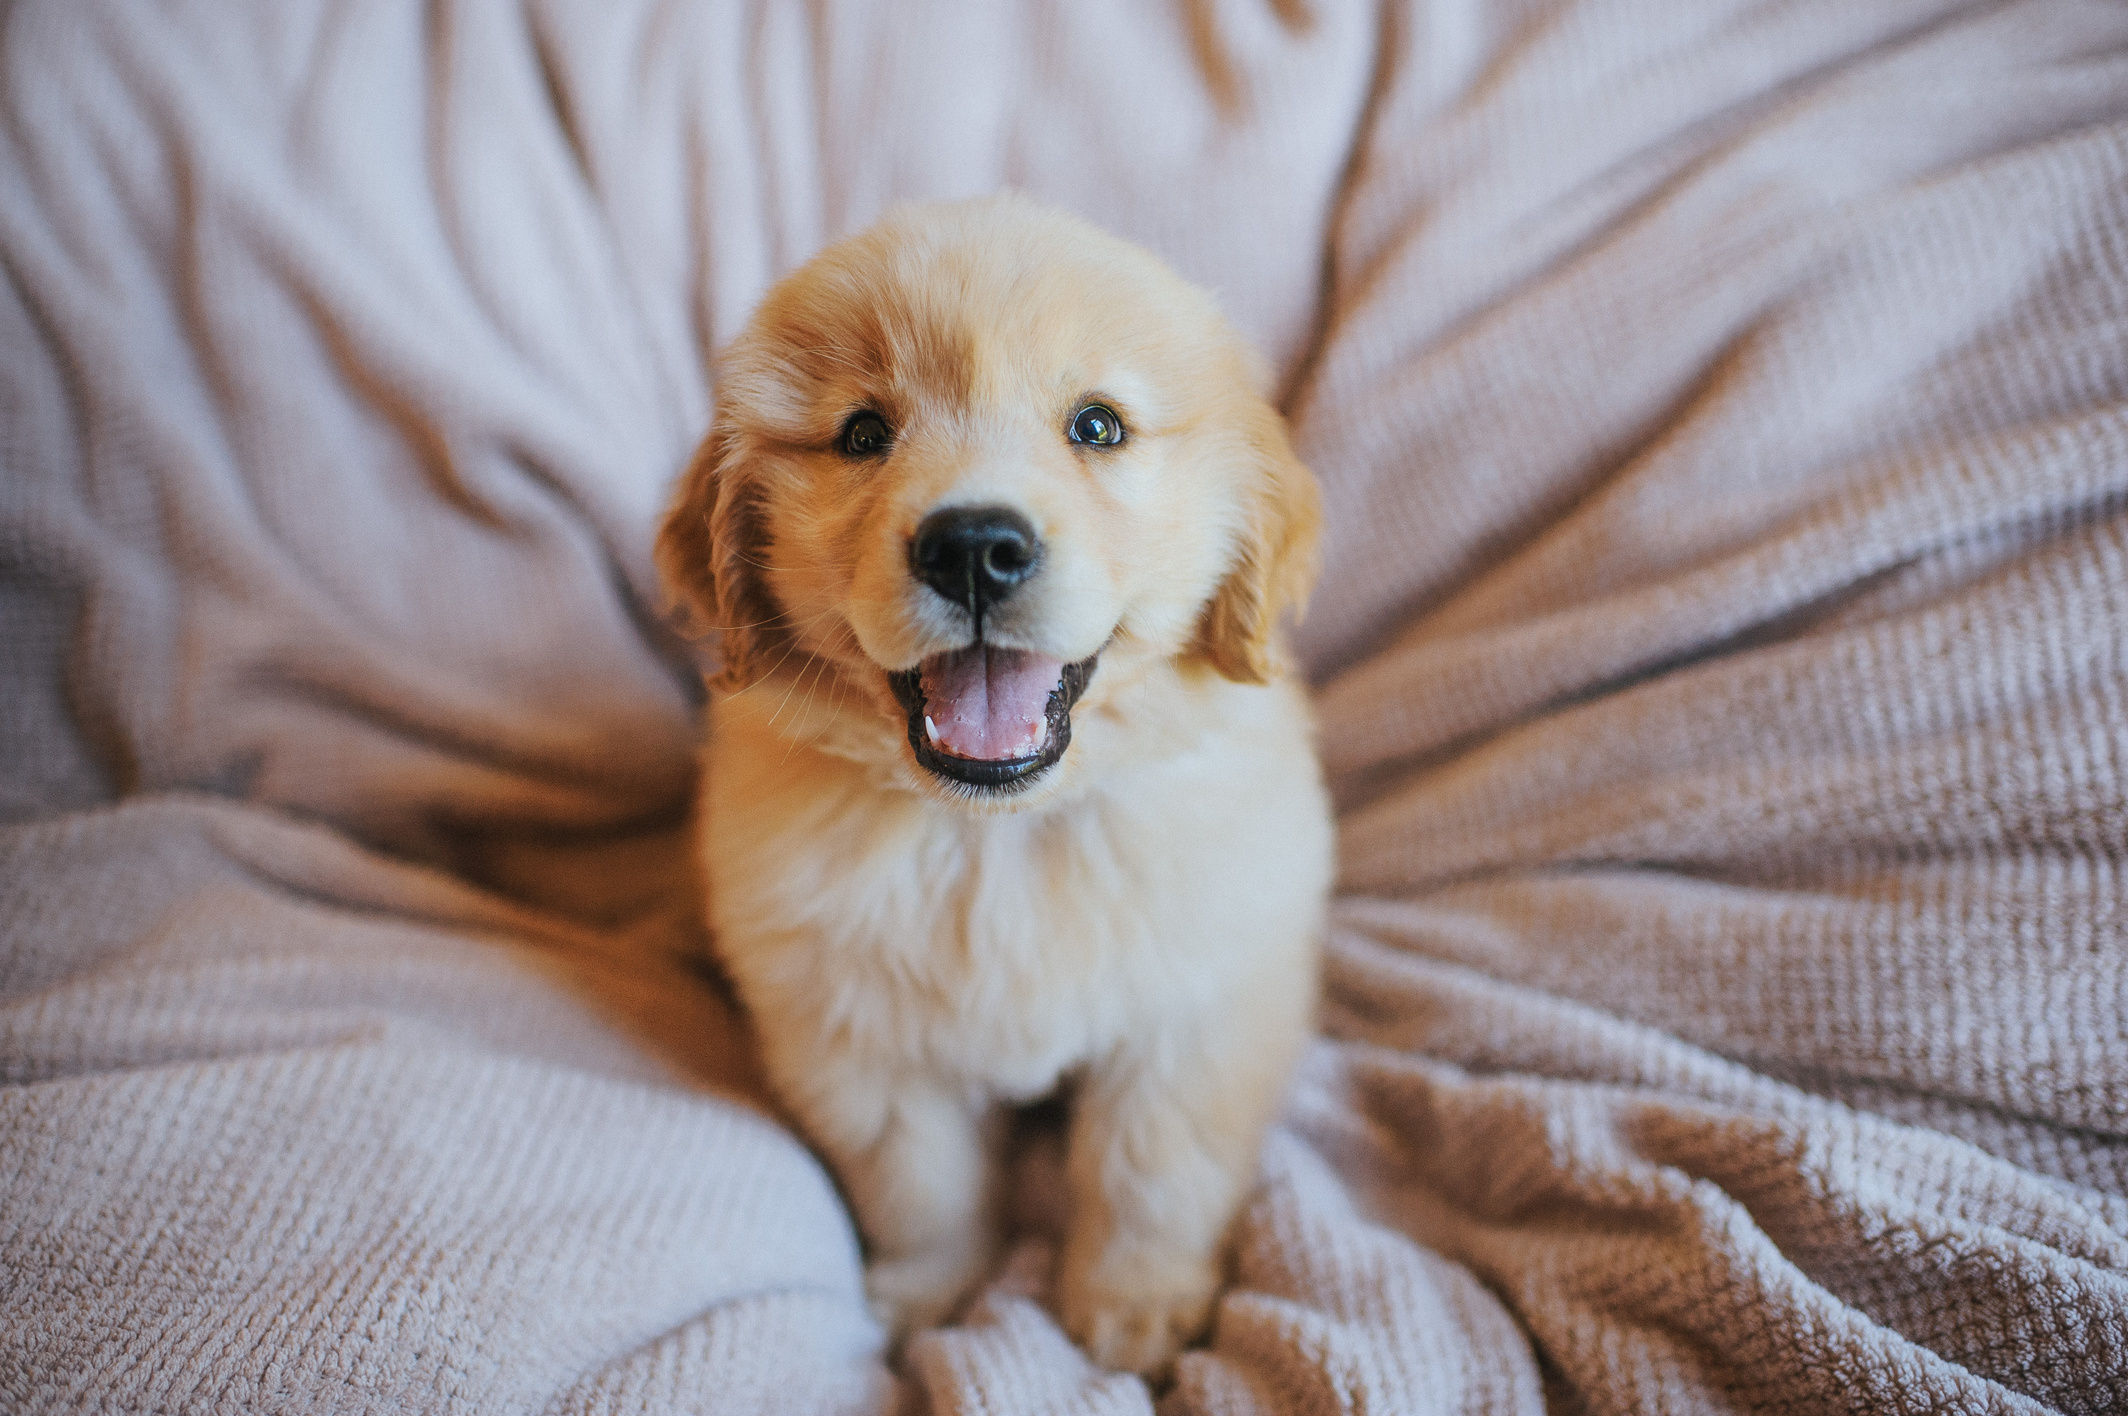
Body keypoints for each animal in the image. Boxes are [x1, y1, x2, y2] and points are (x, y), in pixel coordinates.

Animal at [659, 193, 1327, 1371]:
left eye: (1097, 427)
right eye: (862, 434)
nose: (973, 547)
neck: (998, 833)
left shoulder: (1197, 1014)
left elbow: (1152, 1167)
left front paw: (1136, 1307)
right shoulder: (859, 1043)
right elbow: (923, 1187)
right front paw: (935, 1298)